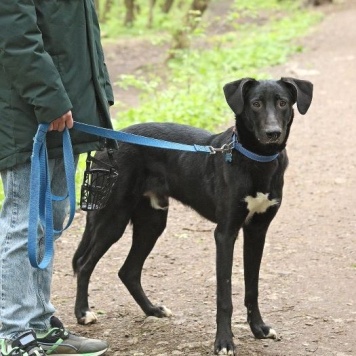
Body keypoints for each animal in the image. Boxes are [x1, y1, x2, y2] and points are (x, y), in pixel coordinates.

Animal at [73, 78, 312, 356]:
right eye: (256, 104)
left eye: (283, 102)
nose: (273, 132)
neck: (256, 159)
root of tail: (108, 143)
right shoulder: (225, 234)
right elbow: (224, 296)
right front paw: (224, 342)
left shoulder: (257, 232)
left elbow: (252, 288)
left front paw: (259, 329)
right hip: (113, 218)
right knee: (84, 264)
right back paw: (83, 313)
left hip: (152, 222)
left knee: (128, 271)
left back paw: (152, 310)